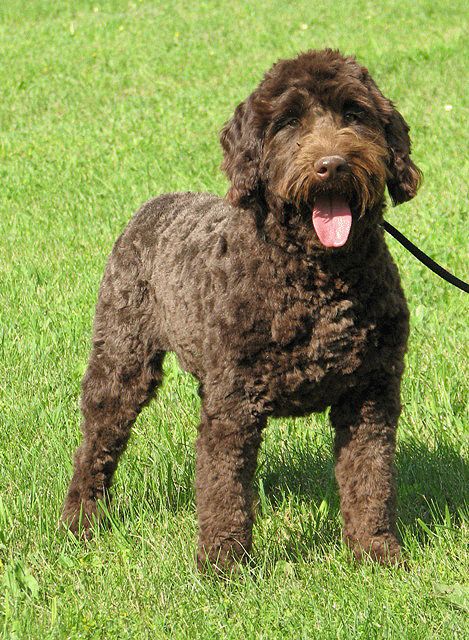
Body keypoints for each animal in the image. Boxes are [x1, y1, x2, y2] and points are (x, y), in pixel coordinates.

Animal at [61, 50, 420, 568]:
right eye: (288, 122)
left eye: (354, 113)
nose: (332, 165)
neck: (318, 276)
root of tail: (154, 204)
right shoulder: (233, 404)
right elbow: (223, 490)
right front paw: (223, 565)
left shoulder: (370, 396)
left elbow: (371, 481)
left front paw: (376, 553)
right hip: (120, 362)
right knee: (96, 445)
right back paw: (79, 521)